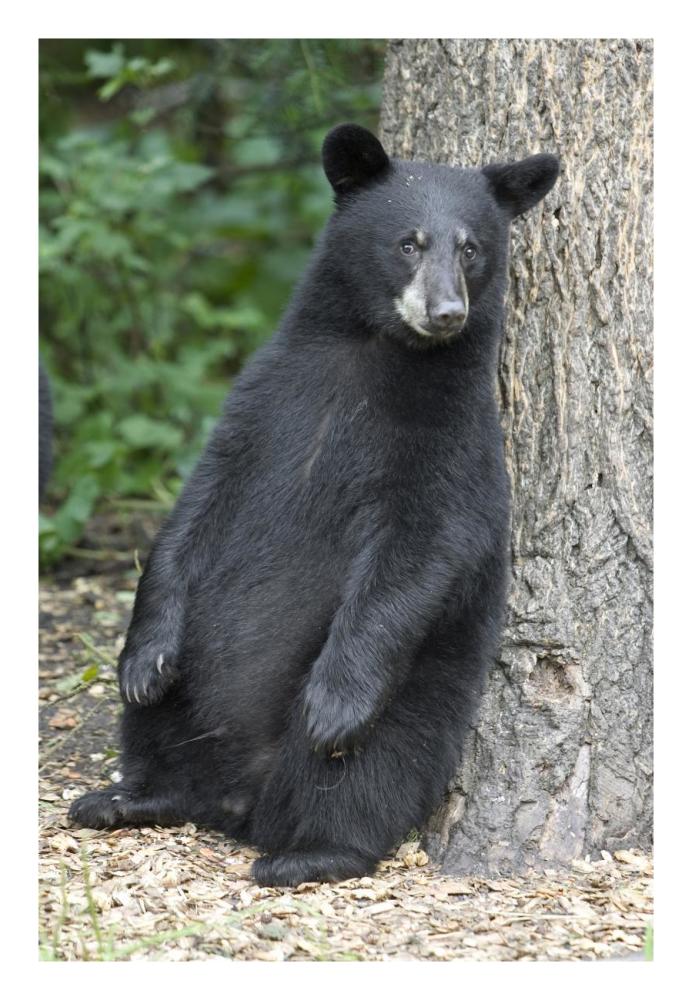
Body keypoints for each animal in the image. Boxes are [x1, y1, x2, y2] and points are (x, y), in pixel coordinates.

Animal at [69, 124, 559, 887]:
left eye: (472, 247)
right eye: (408, 242)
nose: (446, 313)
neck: (375, 353)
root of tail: (238, 802)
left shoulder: (452, 442)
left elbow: (420, 549)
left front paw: (335, 702)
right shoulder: (262, 402)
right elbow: (194, 509)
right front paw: (143, 658)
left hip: (414, 696)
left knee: (365, 772)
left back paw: (311, 851)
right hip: (193, 689)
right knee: (159, 725)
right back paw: (127, 796)